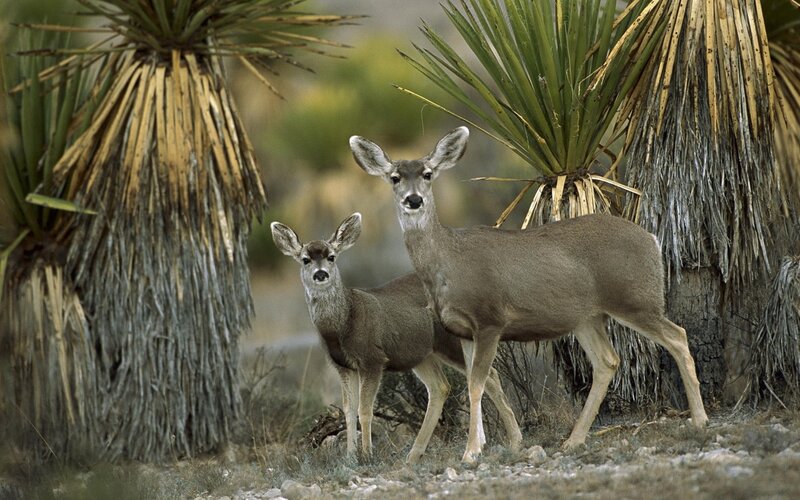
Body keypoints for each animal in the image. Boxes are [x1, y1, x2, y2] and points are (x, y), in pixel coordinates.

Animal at [270, 212, 522, 463]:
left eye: (331, 256)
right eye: (305, 259)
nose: (320, 274)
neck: (343, 323)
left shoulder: (372, 359)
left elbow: (365, 410)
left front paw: (367, 455)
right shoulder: (342, 366)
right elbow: (348, 410)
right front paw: (350, 456)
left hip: (450, 342)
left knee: (488, 375)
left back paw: (512, 440)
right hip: (421, 354)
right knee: (441, 386)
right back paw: (416, 454)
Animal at [350, 126, 709, 463]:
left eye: (427, 173)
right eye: (395, 177)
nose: (413, 200)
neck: (449, 263)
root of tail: (652, 239)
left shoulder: (490, 319)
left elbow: (477, 383)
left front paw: (471, 451)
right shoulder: (462, 330)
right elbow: (481, 382)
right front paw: (487, 444)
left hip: (635, 298)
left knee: (677, 336)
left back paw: (700, 420)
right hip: (587, 317)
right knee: (608, 361)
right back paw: (573, 440)